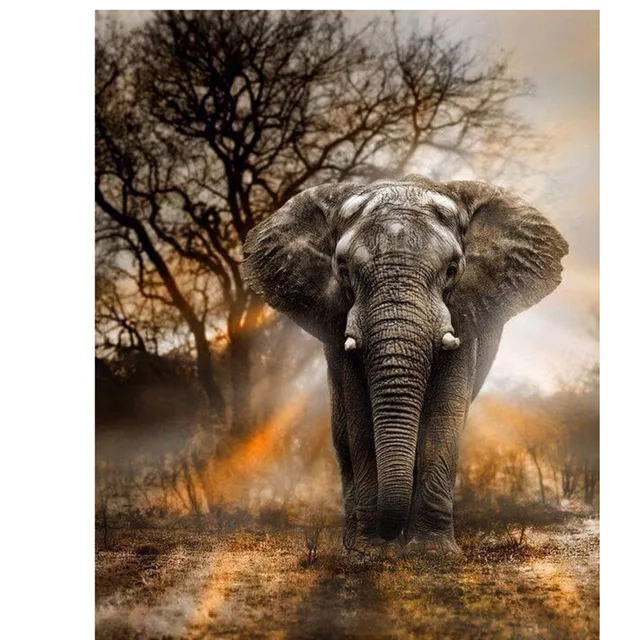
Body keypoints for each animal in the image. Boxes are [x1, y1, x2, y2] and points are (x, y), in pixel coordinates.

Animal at [242, 175, 568, 555]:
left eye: (452, 270)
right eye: (343, 270)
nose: (387, 535)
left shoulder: (464, 314)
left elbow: (444, 413)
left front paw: (432, 553)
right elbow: (360, 417)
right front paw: (369, 553)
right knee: (341, 435)